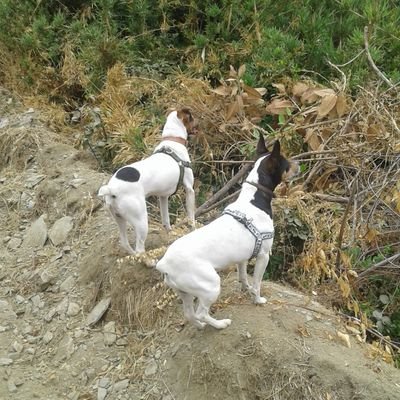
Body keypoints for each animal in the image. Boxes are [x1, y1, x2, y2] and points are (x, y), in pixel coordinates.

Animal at [97, 107, 196, 253]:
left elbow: (166, 220)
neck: (172, 141)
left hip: (119, 219)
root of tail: (111, 189)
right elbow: (191, 216)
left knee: (125, 243)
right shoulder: (189, 189)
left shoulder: (163, 197)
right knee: (139, 247)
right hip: (141, 220)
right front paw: (193, 229)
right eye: (192, 118)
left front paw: (169, 234)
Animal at [155, 134, 298, 328]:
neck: (254, 200)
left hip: (185, 292)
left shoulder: (242, 258)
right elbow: (257, 283)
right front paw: (257, 300)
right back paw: (220, 324)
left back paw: (200, 326)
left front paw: (246, 289)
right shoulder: (263, 256)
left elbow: (243, 277)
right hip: (211, 285)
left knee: (189, 314)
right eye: (287, 164)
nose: (299, 164)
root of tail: (164, 264)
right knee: (201, 313)